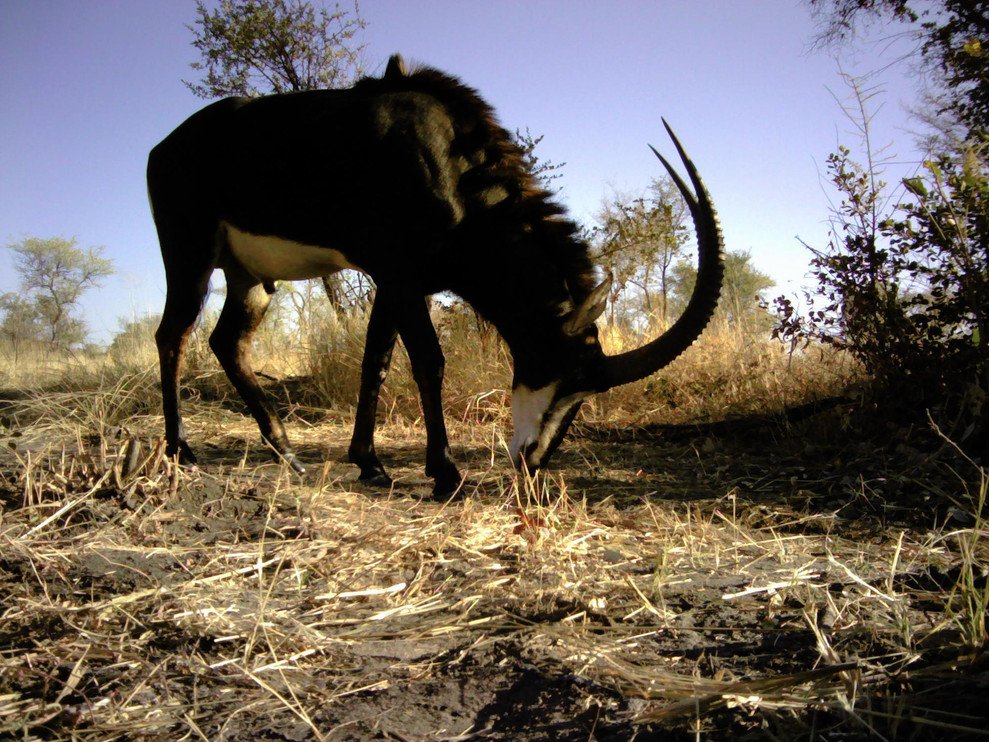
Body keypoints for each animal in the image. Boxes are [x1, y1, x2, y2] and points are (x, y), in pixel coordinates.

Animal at [149, 55, 724, 497]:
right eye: (559, 370)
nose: (531, 462)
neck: (451, 166)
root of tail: (164, 146)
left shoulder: (395, 282)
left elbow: (376, 362)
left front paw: (371, 464)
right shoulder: (399, 275)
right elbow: (429, 362)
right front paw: (445, 474)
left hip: (252, 278)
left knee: (227, 342)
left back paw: (288, 454)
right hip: (190, 256)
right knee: (172, 334)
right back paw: (181, 450)